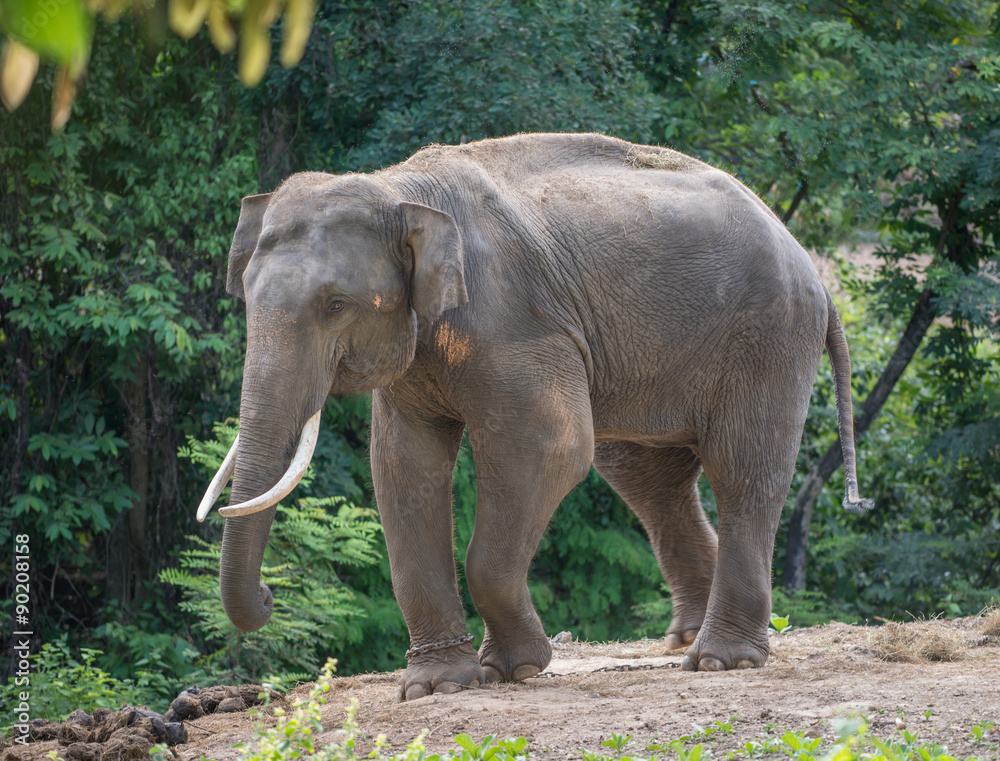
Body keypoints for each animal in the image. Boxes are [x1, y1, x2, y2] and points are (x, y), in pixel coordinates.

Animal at [195, 132, 868, 700]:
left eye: (335, 305)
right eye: (245, 297)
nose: (267, 595)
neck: (400, 190)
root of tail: (805, 259)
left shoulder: (514, 321)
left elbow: (550, 449)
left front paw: (515, 668)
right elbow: (404, 466)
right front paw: (437, 686)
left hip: (768, 335)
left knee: (742, 471)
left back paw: (720, 660)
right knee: (648, 479)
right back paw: (684, 639)